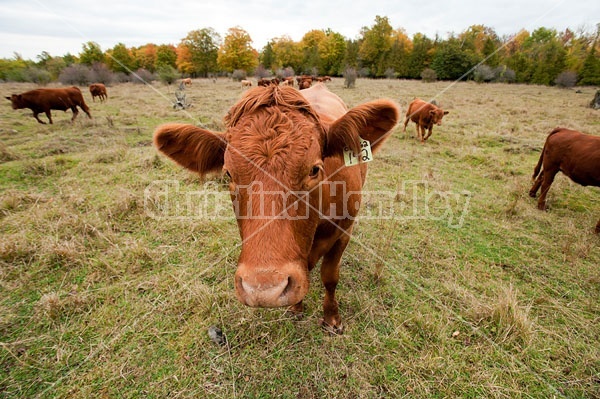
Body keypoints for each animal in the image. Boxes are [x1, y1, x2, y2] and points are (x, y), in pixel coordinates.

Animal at [155, 83, 398, 332]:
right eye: (229, 173)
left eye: (314, 169)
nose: (265, 289)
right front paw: (296, 307)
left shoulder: (343, 232)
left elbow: (330, 277)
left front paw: (332, 319)